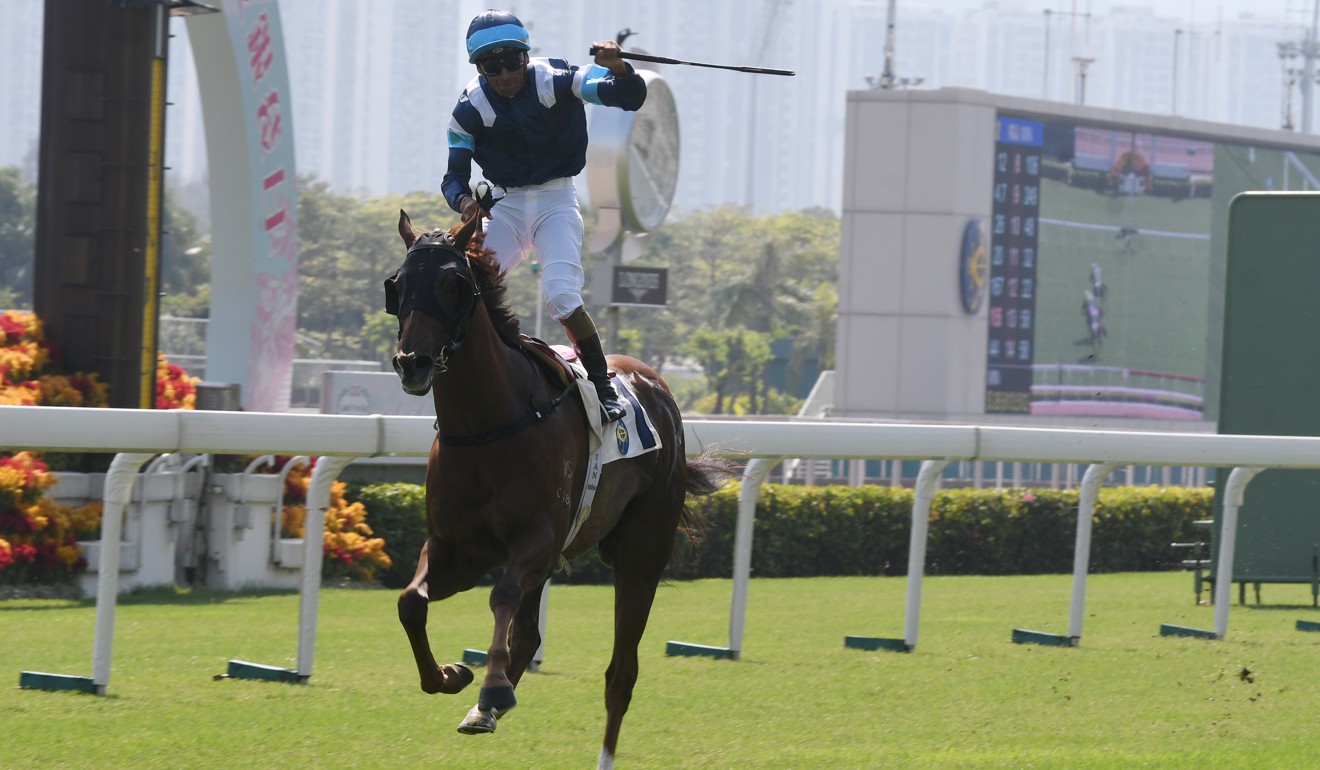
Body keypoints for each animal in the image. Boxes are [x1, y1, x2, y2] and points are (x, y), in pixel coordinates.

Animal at [382, 211, 733, 770]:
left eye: (452, 284)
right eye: (396, 285)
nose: (411, 362)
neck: (487, 424)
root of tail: (656, 385)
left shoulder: (539, 539)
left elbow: (502, 594)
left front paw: (490, 687)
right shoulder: (457, 549)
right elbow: (411, 602)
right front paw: (453, 677)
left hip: (641, 554)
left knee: (621, 672)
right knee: (528, 633)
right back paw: (485, 703)